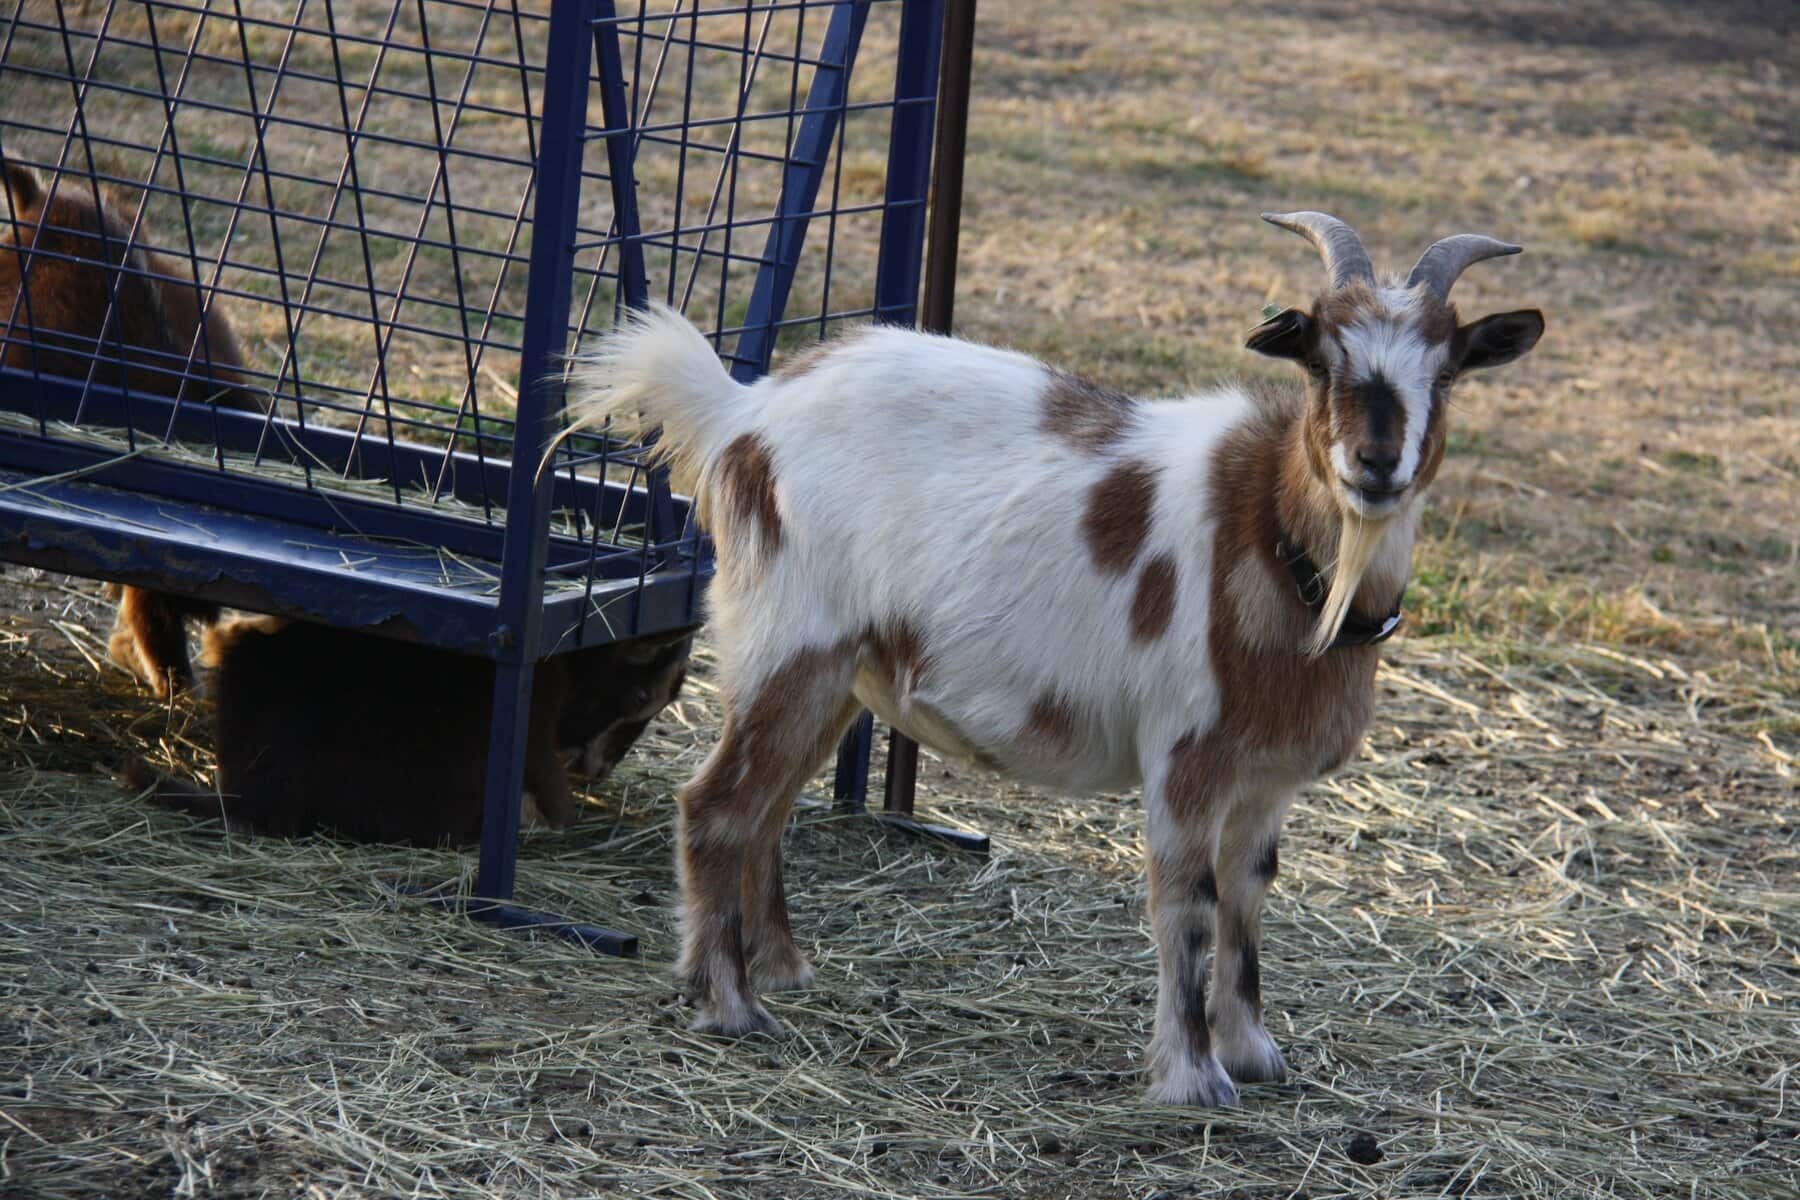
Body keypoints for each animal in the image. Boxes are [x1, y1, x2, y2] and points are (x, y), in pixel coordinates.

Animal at [130, 618, 694, 845]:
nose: (598, 771)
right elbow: (555, 801)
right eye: (639, 698)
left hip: (244, 657)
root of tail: (257, 798)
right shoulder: (536, 726)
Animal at [565, 210, 1543, 1107]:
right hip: (790, 641)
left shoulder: (1267, 779)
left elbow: (1248, 899)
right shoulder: (1186, 757)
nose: (1375, 463)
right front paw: (1193, 1077)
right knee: (716, 805)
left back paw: (779, 968)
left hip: (836, 671)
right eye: (1320, 358)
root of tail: (745, 413)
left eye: (1447, 370)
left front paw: (1255, 1051)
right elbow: (1188, 902)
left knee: (767, 808)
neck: (1270, 537)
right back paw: (727, 1004)